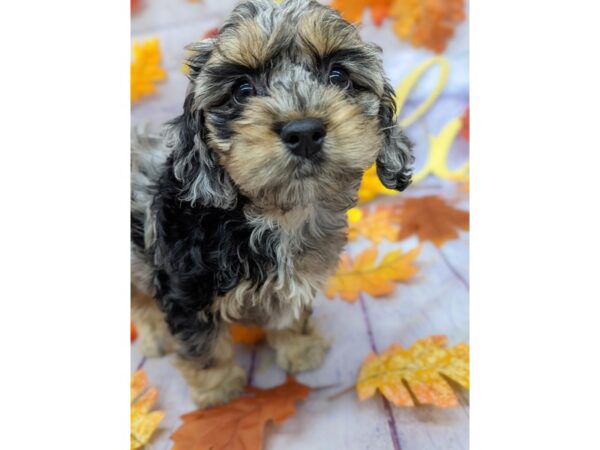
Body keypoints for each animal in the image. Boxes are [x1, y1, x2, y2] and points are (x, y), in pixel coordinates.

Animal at [131, 0, 412, 410]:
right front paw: (218, 391)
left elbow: (290, 315)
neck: (275, 214)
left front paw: (300, 349)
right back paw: (154, 338)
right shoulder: (186, 292)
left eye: (338, 75)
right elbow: (205, 347)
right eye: (241, 89)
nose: (304, 132)